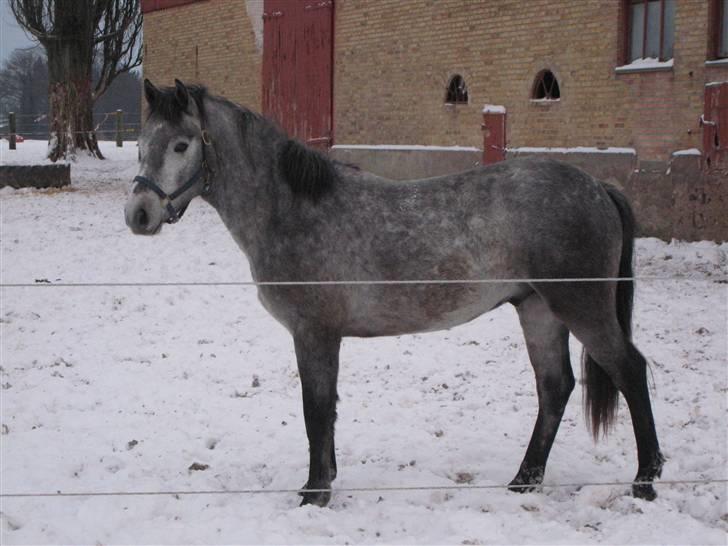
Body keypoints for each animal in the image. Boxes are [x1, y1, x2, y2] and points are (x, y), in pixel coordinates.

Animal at [125, 79, 664, 506]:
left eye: (181, 145)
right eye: (142, 144)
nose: (139, 215)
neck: (292, 210)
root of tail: (597, 186)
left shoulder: (315, 333)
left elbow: (315, 409)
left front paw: (315, 494)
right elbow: (325, 409)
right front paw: (326, 480)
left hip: (580, 307)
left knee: (629, 371)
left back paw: (645, 480)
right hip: (538, 310)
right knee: (555, 387)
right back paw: (523, 481)